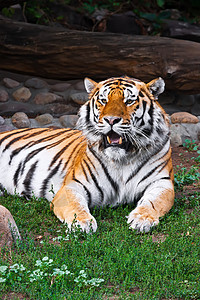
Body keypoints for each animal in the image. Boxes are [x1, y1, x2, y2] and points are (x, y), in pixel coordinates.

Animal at [0, 76, 174, 233]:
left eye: (129, 101)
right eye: (103, 100)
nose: (111, 120)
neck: (122, 159)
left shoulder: (162, 183)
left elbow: (152, 203)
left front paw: (142, 219)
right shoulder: (73, 185)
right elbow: (76, 205)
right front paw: (82, 223)